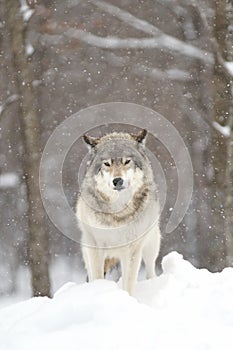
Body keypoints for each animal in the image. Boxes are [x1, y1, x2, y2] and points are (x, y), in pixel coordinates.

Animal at [75, 129, 161, 296]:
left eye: (127, 161)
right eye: (107, 163)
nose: (118, 181)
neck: (118, 212)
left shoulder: (132, 249)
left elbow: (129, 282)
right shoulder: (95, 246)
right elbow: (97, 277)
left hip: (151, 244)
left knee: (150, 269)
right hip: (86, 247)